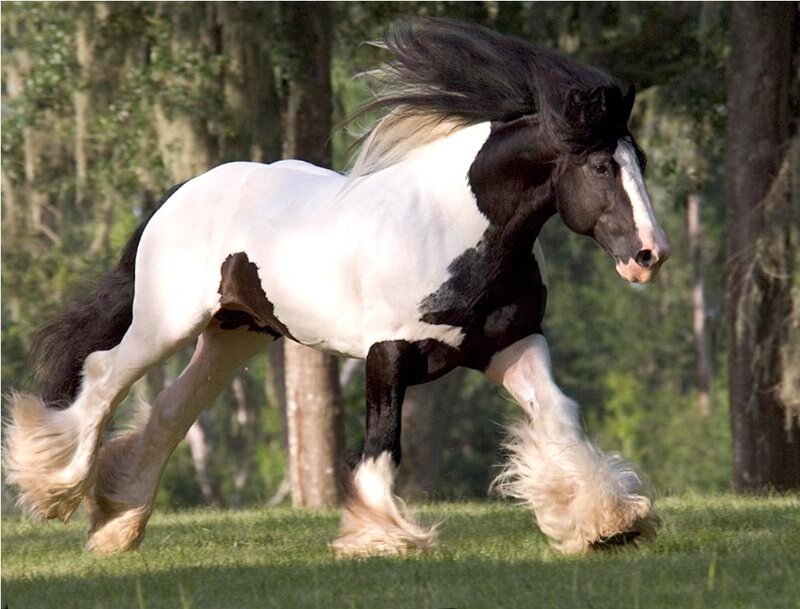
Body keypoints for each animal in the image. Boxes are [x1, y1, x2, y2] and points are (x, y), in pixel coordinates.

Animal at [4, 19, 670, 556]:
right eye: (601, 166)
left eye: (639, 161)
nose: (649, 256)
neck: (452, 227)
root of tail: (179, 194)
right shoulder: (389, 354)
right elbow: (380, 444)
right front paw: (380, 536)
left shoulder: (511, 344)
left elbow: (559, 416)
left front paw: (607, 521)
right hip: (166, 323)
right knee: (103, 379)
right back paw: (56, 490)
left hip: (237, 334)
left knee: (169, 411)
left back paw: (117, 524)